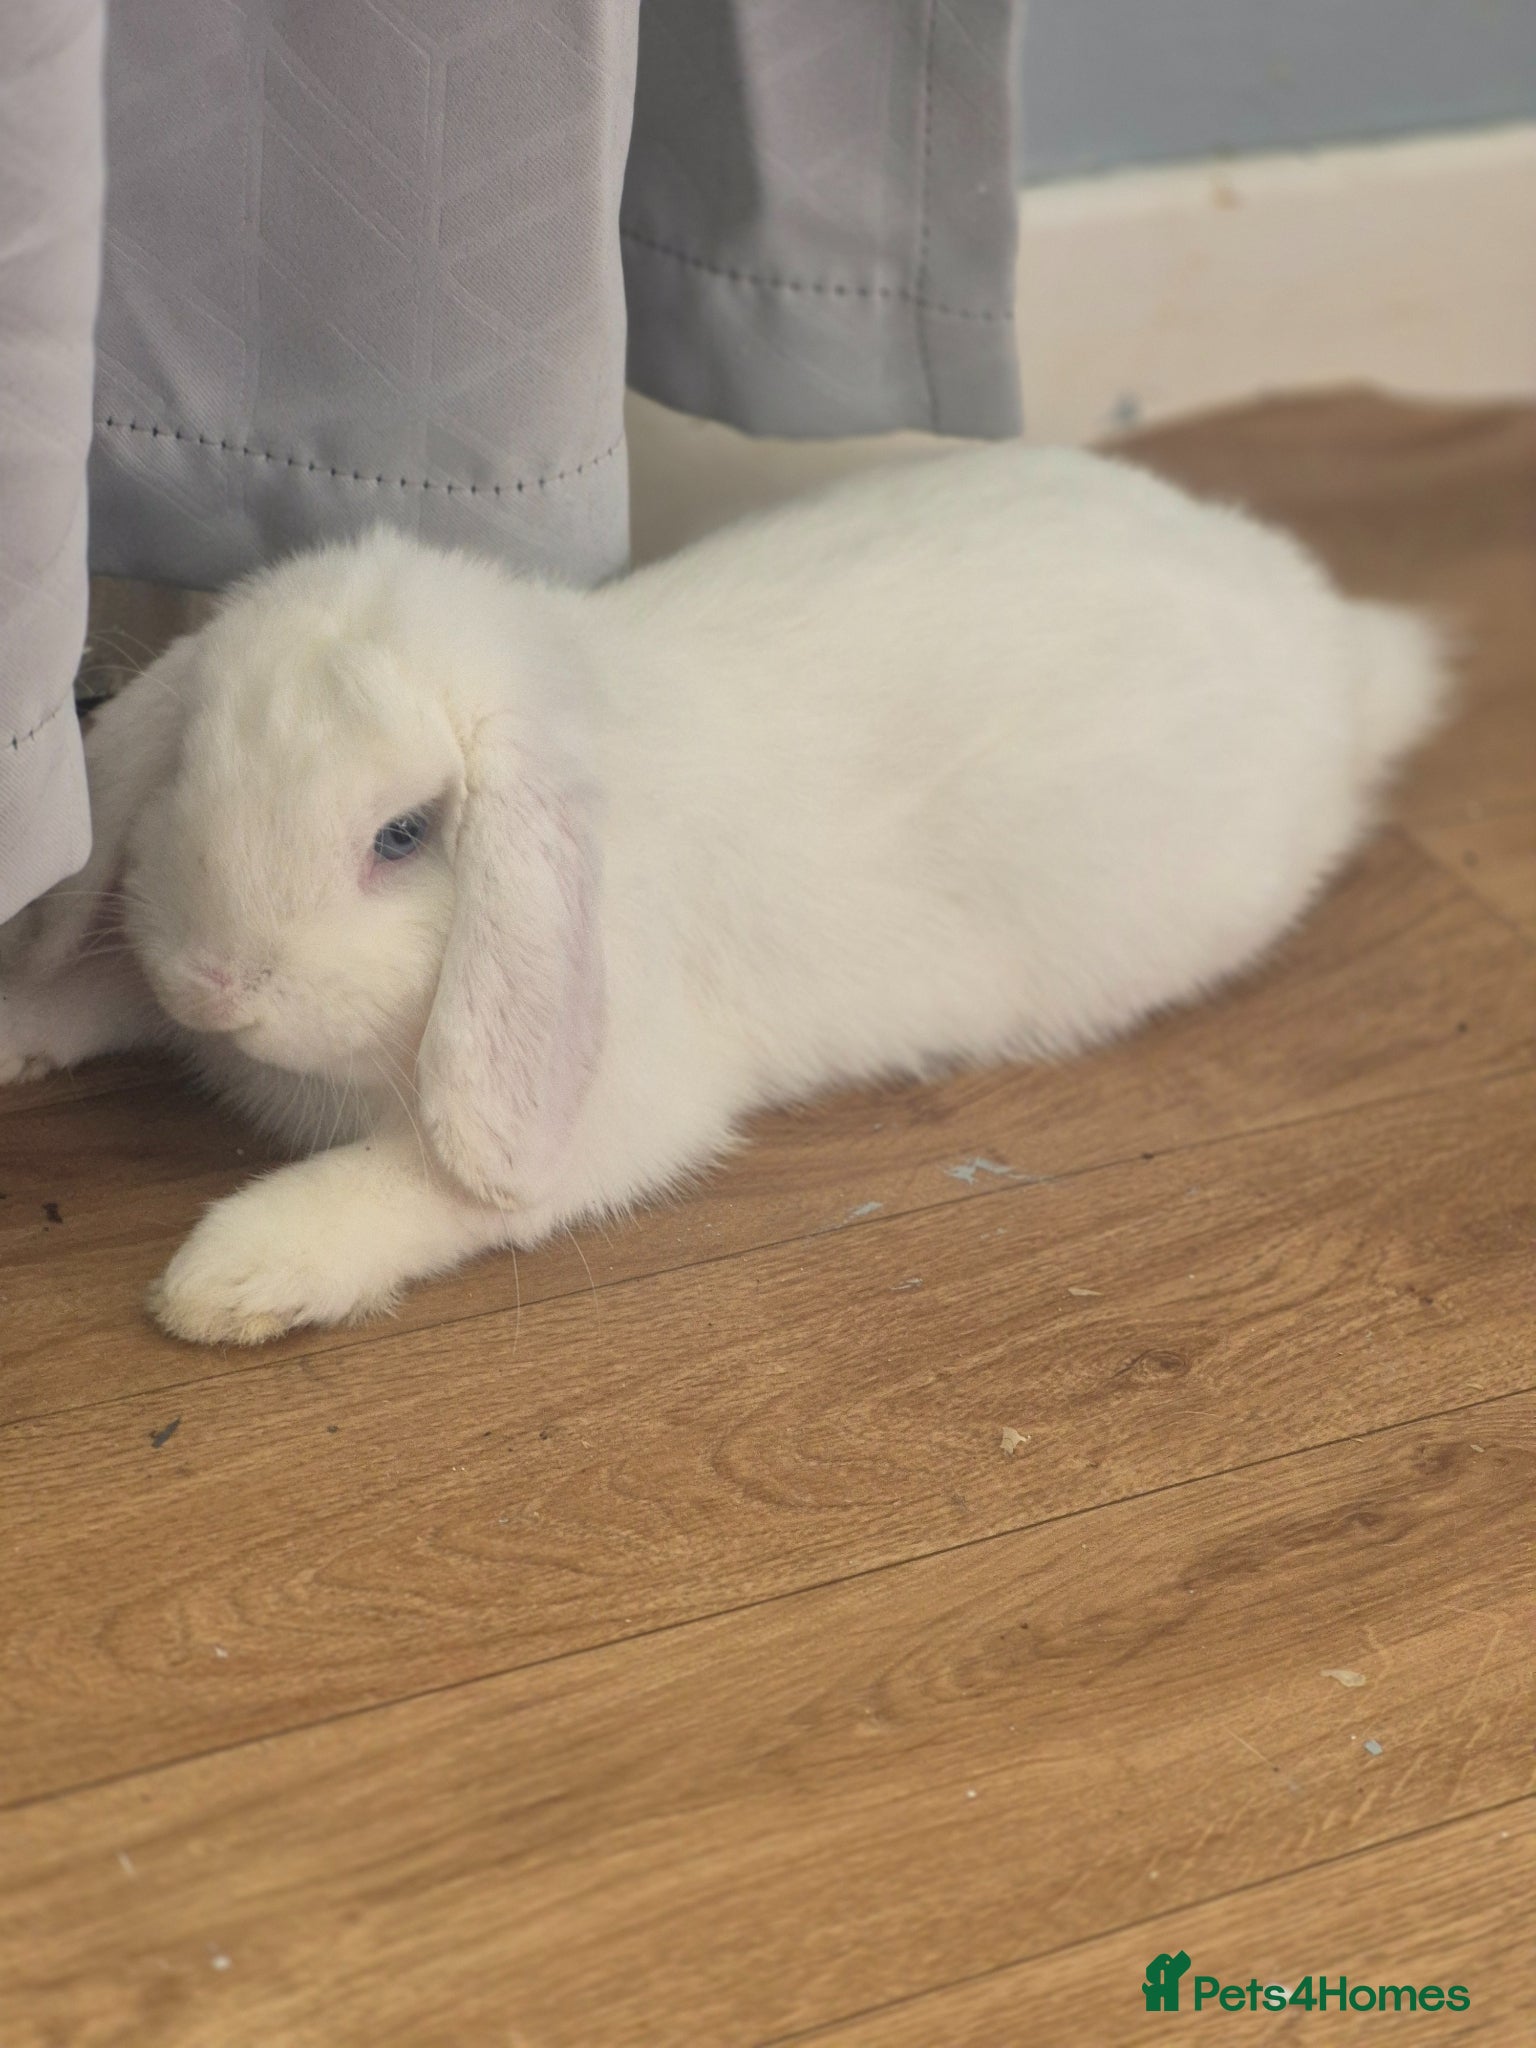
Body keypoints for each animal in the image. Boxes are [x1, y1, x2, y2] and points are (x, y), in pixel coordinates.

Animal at [0, 442, 1449, 1343]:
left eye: (403, 834)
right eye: (191, 767)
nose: (218, 984)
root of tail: (1338, 642)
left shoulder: (613, 1112)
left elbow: (426, 1183)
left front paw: (231, 1274)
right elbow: (101, 992)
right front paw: (23, 1026)